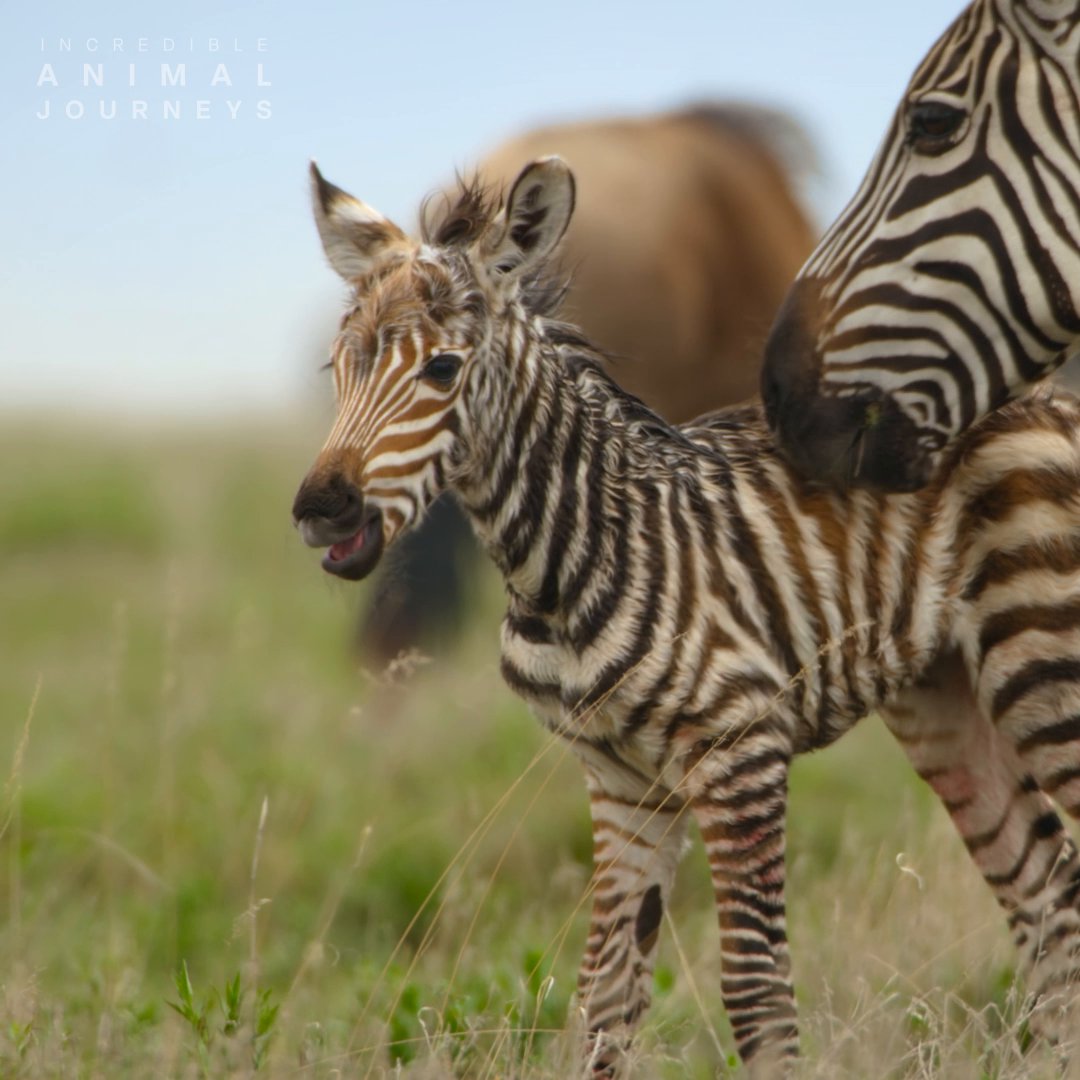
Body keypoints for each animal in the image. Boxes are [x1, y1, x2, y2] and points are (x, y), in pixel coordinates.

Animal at [292, 156, 1080, 1075]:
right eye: (336, 370)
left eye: (443, 371)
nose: (322, 509)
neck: (569, 560)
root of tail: (1048, 400)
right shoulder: (621, 783)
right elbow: (604, 999)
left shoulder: (742, 751)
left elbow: (756, 995)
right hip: (942, 693)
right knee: (1045, 895)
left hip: (1042, 651)